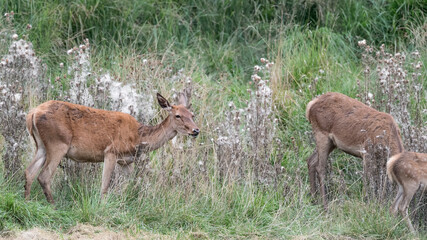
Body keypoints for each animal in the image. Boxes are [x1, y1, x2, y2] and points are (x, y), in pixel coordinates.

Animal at [25, 91, 201, 203]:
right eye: (178, 115)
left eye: (192, 115)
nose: (196, 130)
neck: (138, 137)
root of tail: (32, 113)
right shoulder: (110, 152)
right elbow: (105, 185)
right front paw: (102, 206)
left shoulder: (126, 161)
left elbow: (129, 185)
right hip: (58, 143)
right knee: (44, 176)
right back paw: (53, 205)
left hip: (41, 146)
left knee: (30, 171)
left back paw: (26, 201)